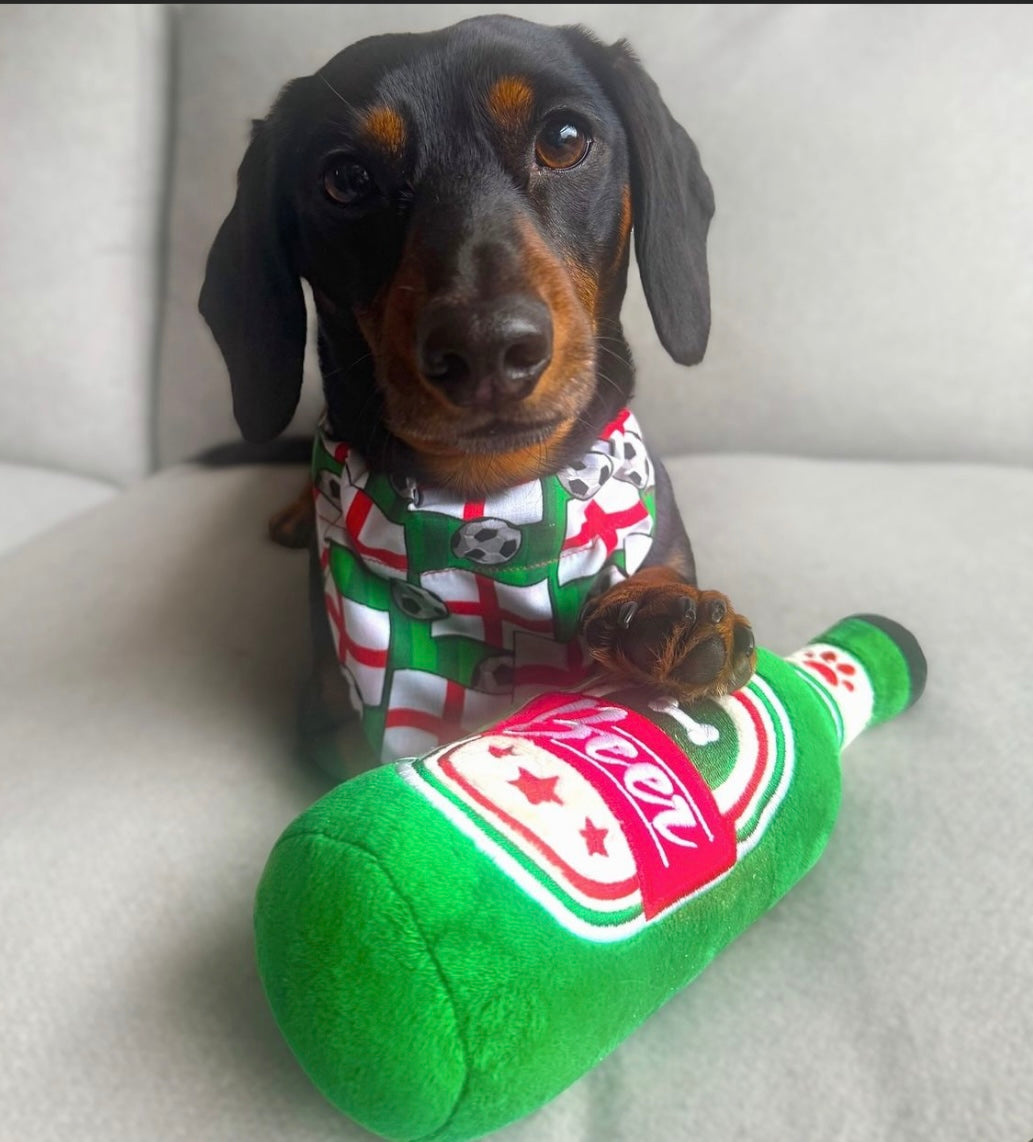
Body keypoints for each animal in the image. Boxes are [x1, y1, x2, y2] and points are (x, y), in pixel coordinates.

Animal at [197, 13, 753, 762]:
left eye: (565, 139)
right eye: (345, 178)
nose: (487, 347)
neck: (492, 497)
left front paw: (662, 612)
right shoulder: (327, 724)